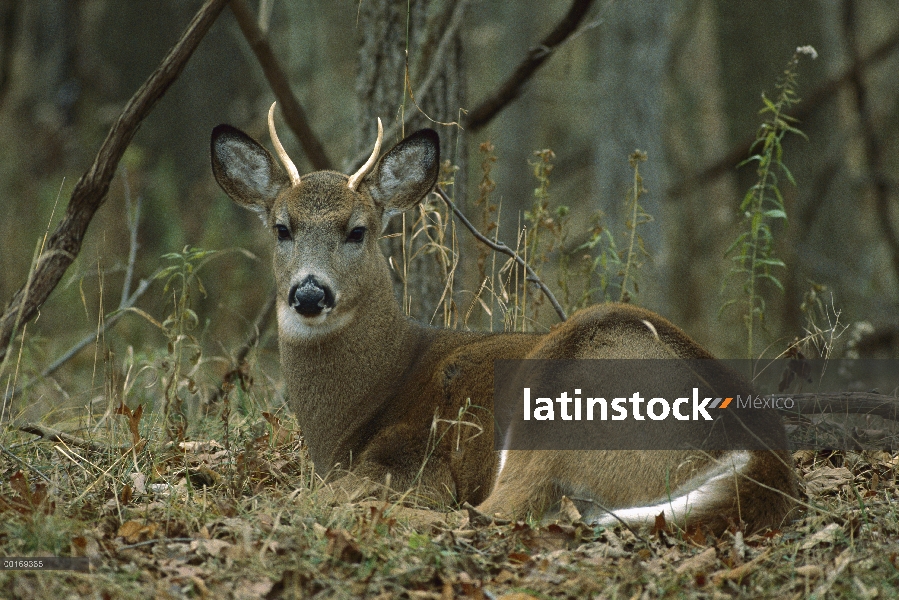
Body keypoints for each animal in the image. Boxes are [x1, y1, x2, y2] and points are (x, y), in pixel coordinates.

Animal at [213, 104, 800, 536]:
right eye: (282, 228)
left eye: (357, 230)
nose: (310, 293)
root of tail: (764, 460)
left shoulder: (411, 459)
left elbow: (313, 498)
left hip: (560, 398)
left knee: (493, 514)